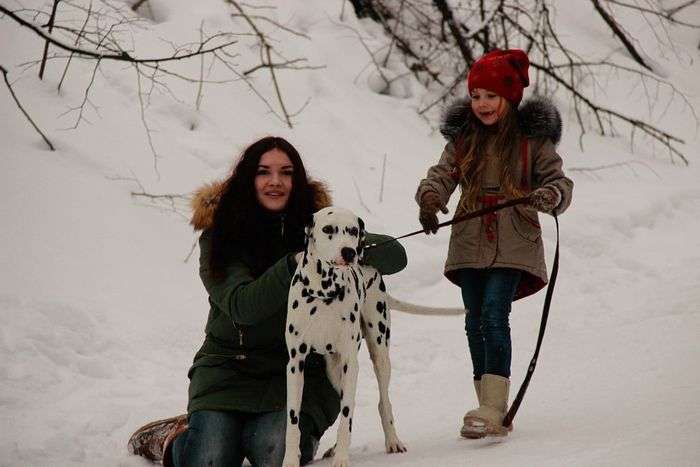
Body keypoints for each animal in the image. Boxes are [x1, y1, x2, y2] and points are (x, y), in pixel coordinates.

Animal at [282, 207, 408, 467]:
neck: (323, 292)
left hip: (379, 353)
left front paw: (341, 458)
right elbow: (293, 420)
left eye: (352, 230)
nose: (349, 252)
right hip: (333, 370)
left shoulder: (350, 361)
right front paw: (290, 460)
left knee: (383, 402)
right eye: (328, 229)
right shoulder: (295, 364)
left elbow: (347, 414)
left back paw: (392, 440)